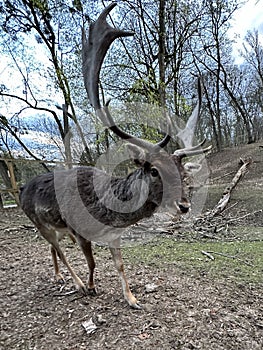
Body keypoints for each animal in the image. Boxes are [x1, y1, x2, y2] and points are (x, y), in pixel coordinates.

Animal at [19, 3, 212, 308]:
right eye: (154, 170)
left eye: (183, 173)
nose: (183, 206)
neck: (106, 210)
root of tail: (21, 187)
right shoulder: (79, 231)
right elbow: (92, 262)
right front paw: (90, 287)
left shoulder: (113, 234)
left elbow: (120, 264)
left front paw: (132, 298)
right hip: (39, 222)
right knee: (58, 249)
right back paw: (75, 283)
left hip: (54, 227)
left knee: (52, 250)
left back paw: (59, 276)